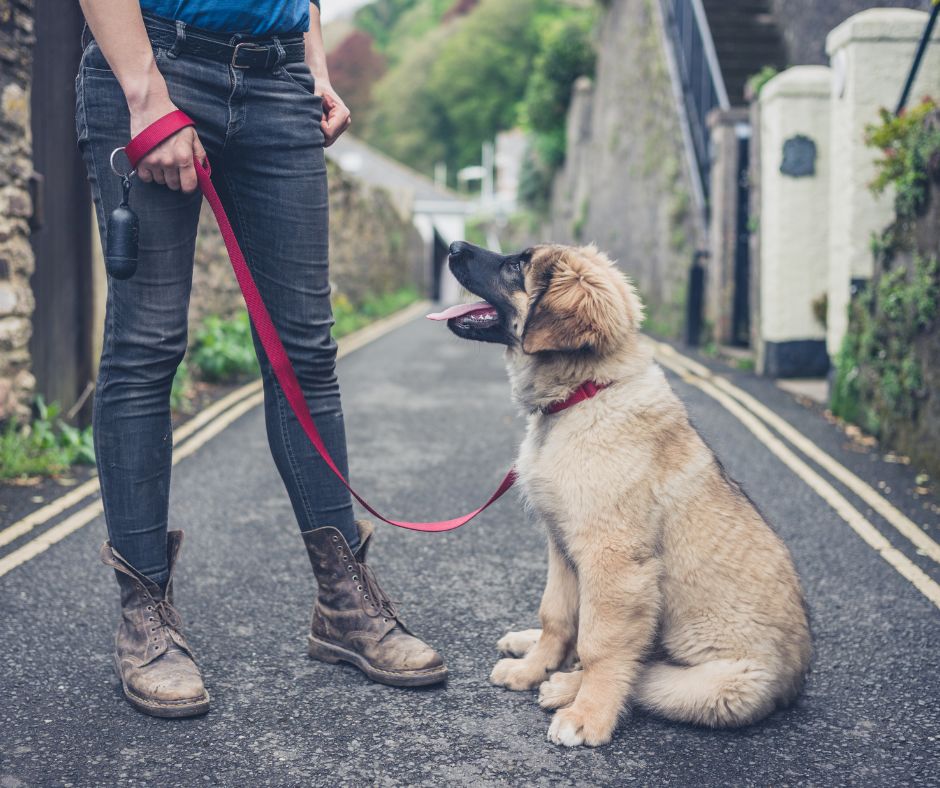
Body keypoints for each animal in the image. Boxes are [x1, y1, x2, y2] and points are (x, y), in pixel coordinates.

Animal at [430, 243, 812, 748]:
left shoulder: (613, 561)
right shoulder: (562, 545)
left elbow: (601, 645)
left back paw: (565, 687)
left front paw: (586, 714)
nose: (453, 247)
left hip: (722, 686)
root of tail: (795, 682)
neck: (584, 395)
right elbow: (556, 616)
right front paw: (532, 669)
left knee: (644, 670)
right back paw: (531, 651)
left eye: (517, 266)